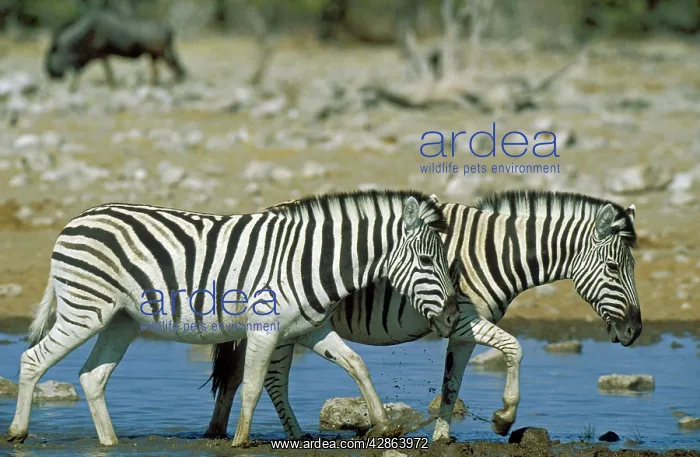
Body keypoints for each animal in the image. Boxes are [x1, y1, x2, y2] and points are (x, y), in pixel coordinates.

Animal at [6, 189, 460, 447]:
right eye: (426, 261)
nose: (454, 312)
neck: (312, 261)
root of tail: (78, 219)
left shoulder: (312, 329)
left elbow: (357, 365)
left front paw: (383, 426)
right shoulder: (264, 328)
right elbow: (254, 386)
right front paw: (241, 440)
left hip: (120, 320)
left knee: (92, 377)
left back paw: (110, 442)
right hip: (86, 310)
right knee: (32, 360)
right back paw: (18, 433)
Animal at [203, 189, 642, 441]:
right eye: (614, 269)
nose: (635, 331)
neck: (494, 252)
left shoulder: (461, 330)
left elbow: (451, 384)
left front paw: (443, 437)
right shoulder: (465, 318)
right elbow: (514, 348)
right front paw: (503, 417)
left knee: (236, 376)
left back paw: (215, 433)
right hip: (285, 325)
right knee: (271, 378)